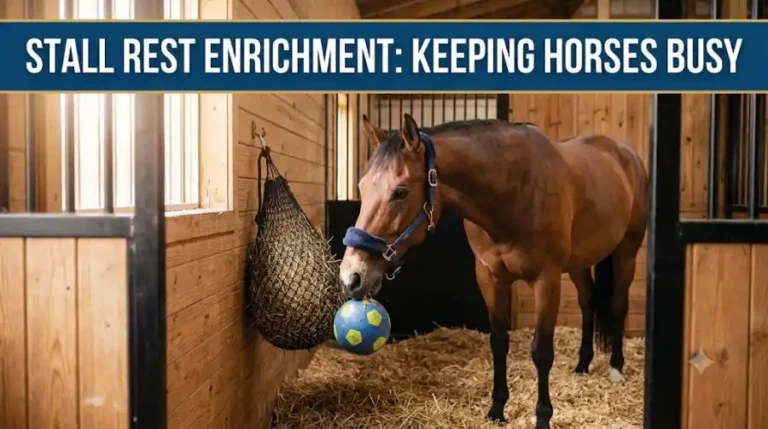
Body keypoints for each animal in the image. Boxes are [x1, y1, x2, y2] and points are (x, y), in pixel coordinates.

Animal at [338, 112, 649, 429]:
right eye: (362, 187)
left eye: (400, 192)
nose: (352, 276)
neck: (513, 191)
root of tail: (625, 153)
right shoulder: (490, 276)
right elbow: (498, 342)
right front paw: (497, 410)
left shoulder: (546, 278)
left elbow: (541, 351)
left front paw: (543, 417)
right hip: (579, 262)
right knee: (588, 302)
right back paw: (583, 364)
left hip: (626, 251)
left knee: (618, 305)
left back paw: (616, 368)